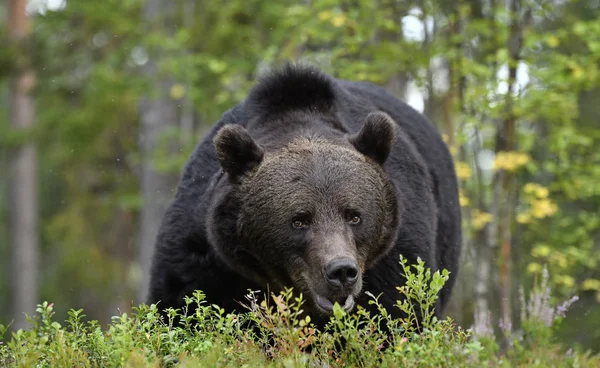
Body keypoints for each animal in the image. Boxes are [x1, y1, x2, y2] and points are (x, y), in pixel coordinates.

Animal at [146, 63, 464, 328]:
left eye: (354, 216)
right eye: (299, 220)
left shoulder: (395, 256)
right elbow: (183, 306)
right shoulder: (207, 255)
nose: (341, 271)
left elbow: (399, 313)